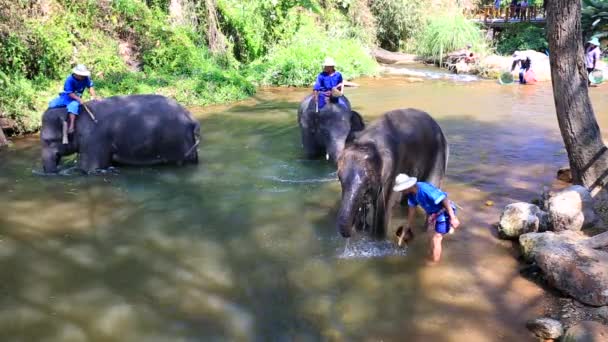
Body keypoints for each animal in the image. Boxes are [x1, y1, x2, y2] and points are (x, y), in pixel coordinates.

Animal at [41, 94, 202, 172]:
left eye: (49, 141)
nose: (55, 171)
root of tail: (192, 119)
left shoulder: (94, 140)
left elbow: (89, 169)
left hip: (178, 141)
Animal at [334, 109, 448, 238]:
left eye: (368, 182)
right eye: (339, 178)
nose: (352, 229)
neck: (369, 140)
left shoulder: (393, 171)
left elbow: (382, 211)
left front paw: (376, 239)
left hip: (438, 156)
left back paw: (426, 231)